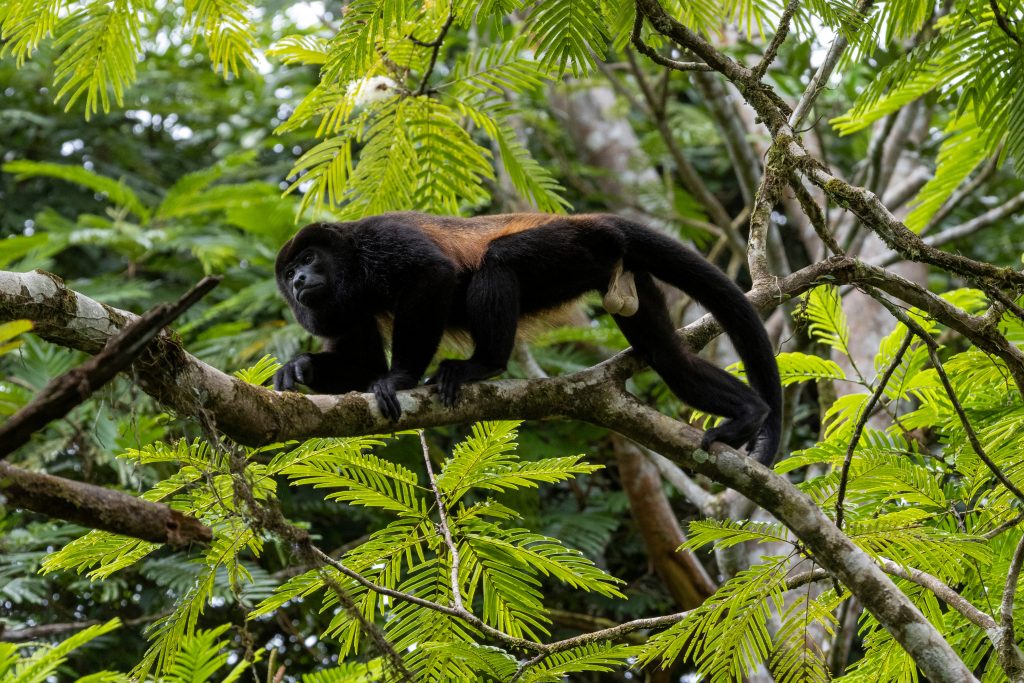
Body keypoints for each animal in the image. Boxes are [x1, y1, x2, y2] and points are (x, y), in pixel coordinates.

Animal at [273, 212, 782, 465]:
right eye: (289, 270)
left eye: (310, 258)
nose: (297, 279)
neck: (351, 267)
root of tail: (603, 221)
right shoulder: (344, 309)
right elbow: (362, 365)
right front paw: (299, 366)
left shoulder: (380, 240)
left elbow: (432, 273)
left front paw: (400, 378)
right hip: (626, 275)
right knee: (668, 357)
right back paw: (750, 412)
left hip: (575, 246)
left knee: (497, 260)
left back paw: (485, 364)